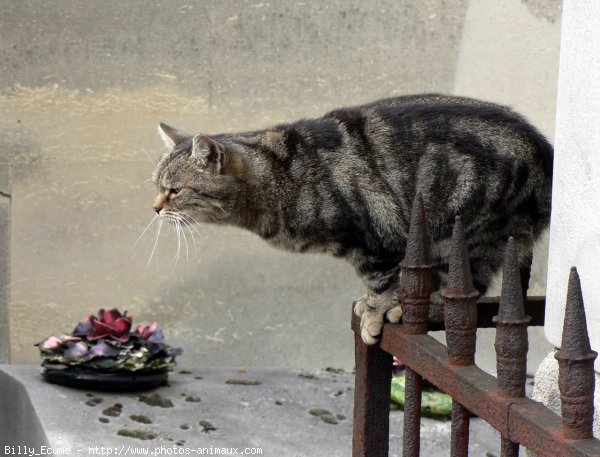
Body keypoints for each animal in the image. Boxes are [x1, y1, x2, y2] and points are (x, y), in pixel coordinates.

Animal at [151, 96, 552, 344]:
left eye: (174, 191)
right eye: (156, 185)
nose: (155, 208)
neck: (278, 179)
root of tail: (546, 152)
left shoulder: (378, 239)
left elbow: (382, 284)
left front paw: (375, 313)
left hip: (469, 232)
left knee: (469, 291)